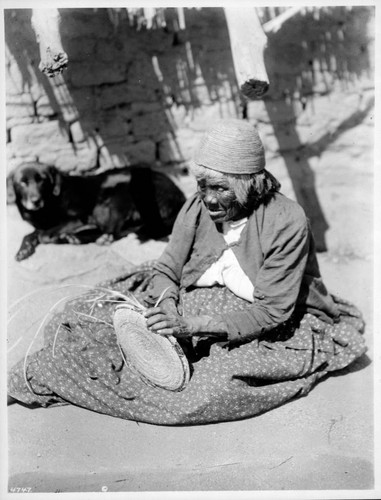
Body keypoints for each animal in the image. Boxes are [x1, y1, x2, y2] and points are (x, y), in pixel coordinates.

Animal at [10, 162, 186, 262]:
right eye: (22, 183)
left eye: (42, 180)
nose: (35, 201)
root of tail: (179, 196)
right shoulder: (42, 225)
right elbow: (30, 234)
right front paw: (23, 250)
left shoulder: (78, 218)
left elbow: (44, 235)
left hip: (115, 197)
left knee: (113, 230)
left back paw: (81, 237)